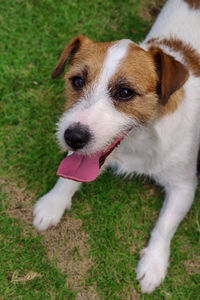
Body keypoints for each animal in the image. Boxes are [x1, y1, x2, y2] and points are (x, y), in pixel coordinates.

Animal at [32, 0, 200, 292]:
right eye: (77, 81)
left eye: (125, 93)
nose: (73, 137)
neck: (140, 141)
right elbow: (68, 177)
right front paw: (53, 203)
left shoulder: (184, 186)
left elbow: (165, 225)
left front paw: (153, 264)